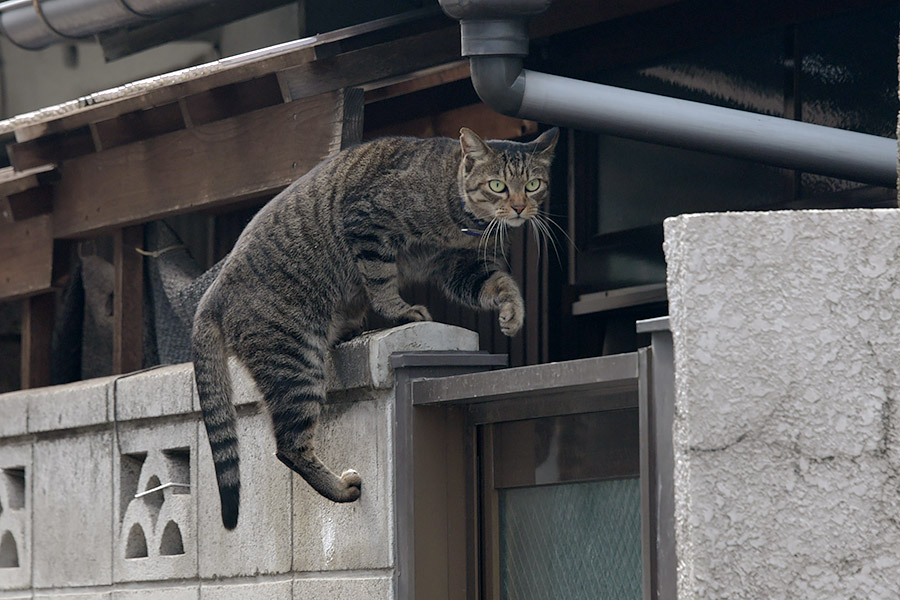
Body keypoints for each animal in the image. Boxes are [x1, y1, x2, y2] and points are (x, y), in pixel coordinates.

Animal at [192, 127, 556, 528]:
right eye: (498, 186)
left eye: (534, 184)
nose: (521, 207)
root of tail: (212, 293)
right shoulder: (368, 223)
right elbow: (381, 280)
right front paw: (401, 311)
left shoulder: (458, 264)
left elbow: (501, 282)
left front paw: (513, 312)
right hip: (295, 363)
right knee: (289, 446)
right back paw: (341, 488)